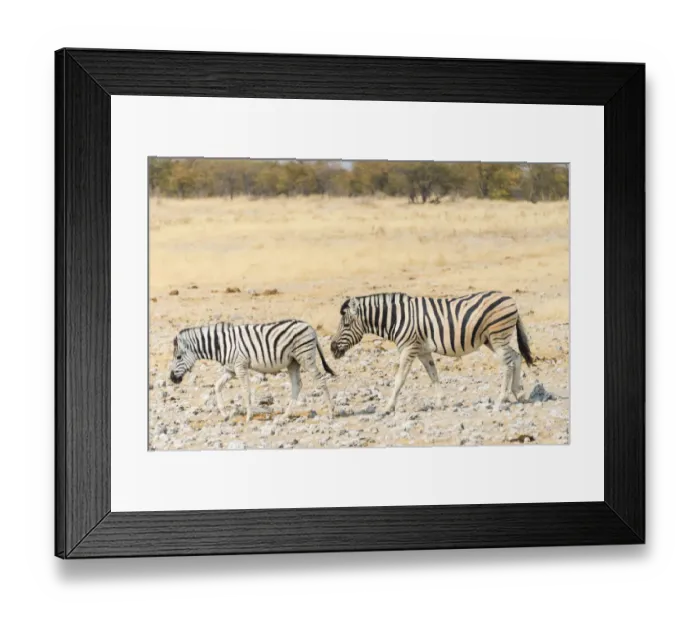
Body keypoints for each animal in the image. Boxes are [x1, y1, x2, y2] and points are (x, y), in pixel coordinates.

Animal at [169, 320, 336, 422]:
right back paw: (285, 415)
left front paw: (249, 416)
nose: (171, 378)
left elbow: (245, 390)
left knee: (321, 380)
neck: (221, 346)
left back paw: (330, 413)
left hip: (305, 357)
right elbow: (217, 386)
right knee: (297, 385)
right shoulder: (231, 370)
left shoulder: (240, 367)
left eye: (178, 357)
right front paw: (224, 413)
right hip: (293, 362)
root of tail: (310, 326)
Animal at [329, 291, 534, 413]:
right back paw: (518, 393)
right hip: (491, 339)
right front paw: (441, 402)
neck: (396, 318)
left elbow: (399, 379)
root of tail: (509, 298)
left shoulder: (409, 348)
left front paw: (388, 407)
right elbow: (433, 375)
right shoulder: (422, 351)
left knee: (507, 363)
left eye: (346, 325)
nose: (331, 349)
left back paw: (501, 400)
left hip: (497, 336)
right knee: (516, 357)